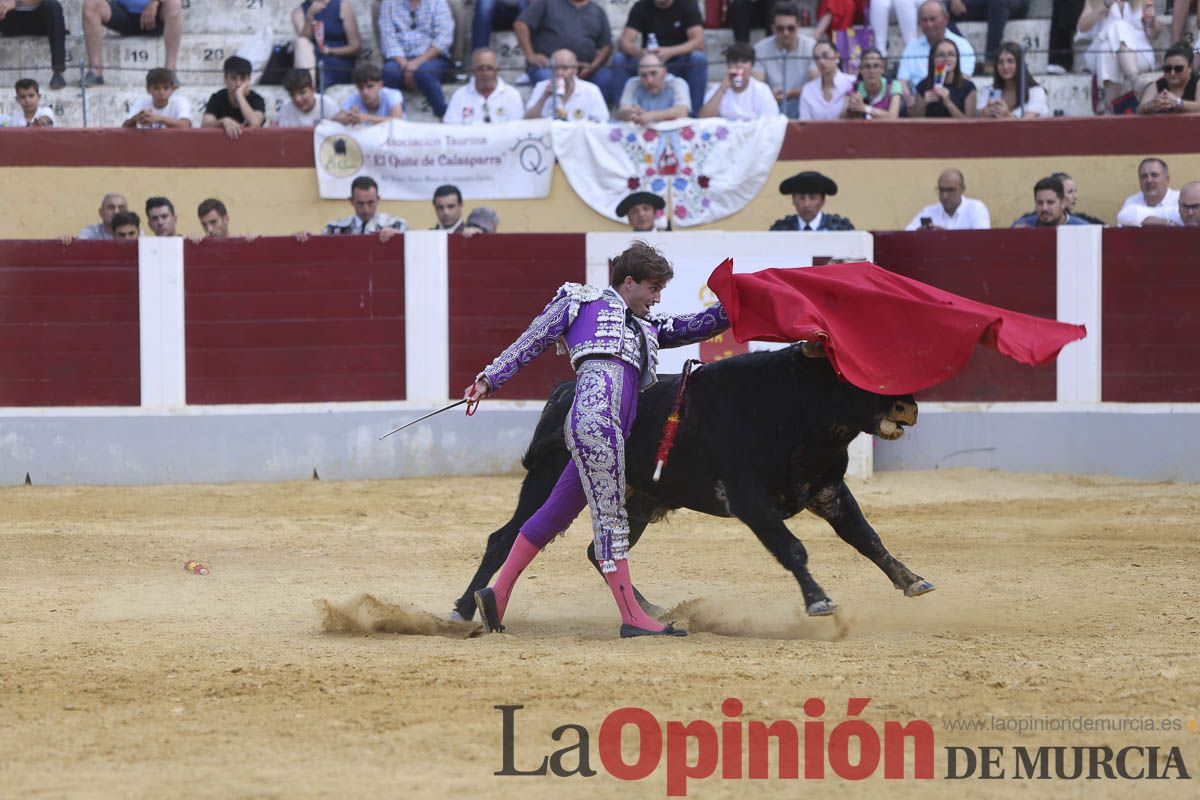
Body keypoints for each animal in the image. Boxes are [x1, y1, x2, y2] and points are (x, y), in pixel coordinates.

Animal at [453, 343, 931, 618]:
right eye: (846, 371)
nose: (907, 407)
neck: (790, 405)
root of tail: (563, 392)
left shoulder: (829, 490)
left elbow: (867, 538)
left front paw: (913, 581)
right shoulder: (749, 500)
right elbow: (792, 547)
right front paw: (819, 601)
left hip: (637, 501)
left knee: (597, 549)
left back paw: (649, 608)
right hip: (547, 485)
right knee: (505, 538)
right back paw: (464, 609)